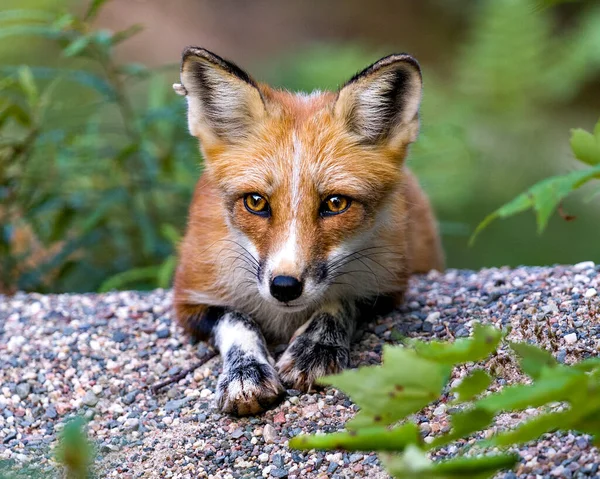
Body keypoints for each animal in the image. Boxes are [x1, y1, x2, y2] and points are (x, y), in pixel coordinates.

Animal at [171, 47, 442, 416]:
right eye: (255, 202)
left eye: (336, 203)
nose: (284, 287)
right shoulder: (190, 296)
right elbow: (238, 321)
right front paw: (246, 373)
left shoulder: (389, 284)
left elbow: (339, 302)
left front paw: (315, 348)